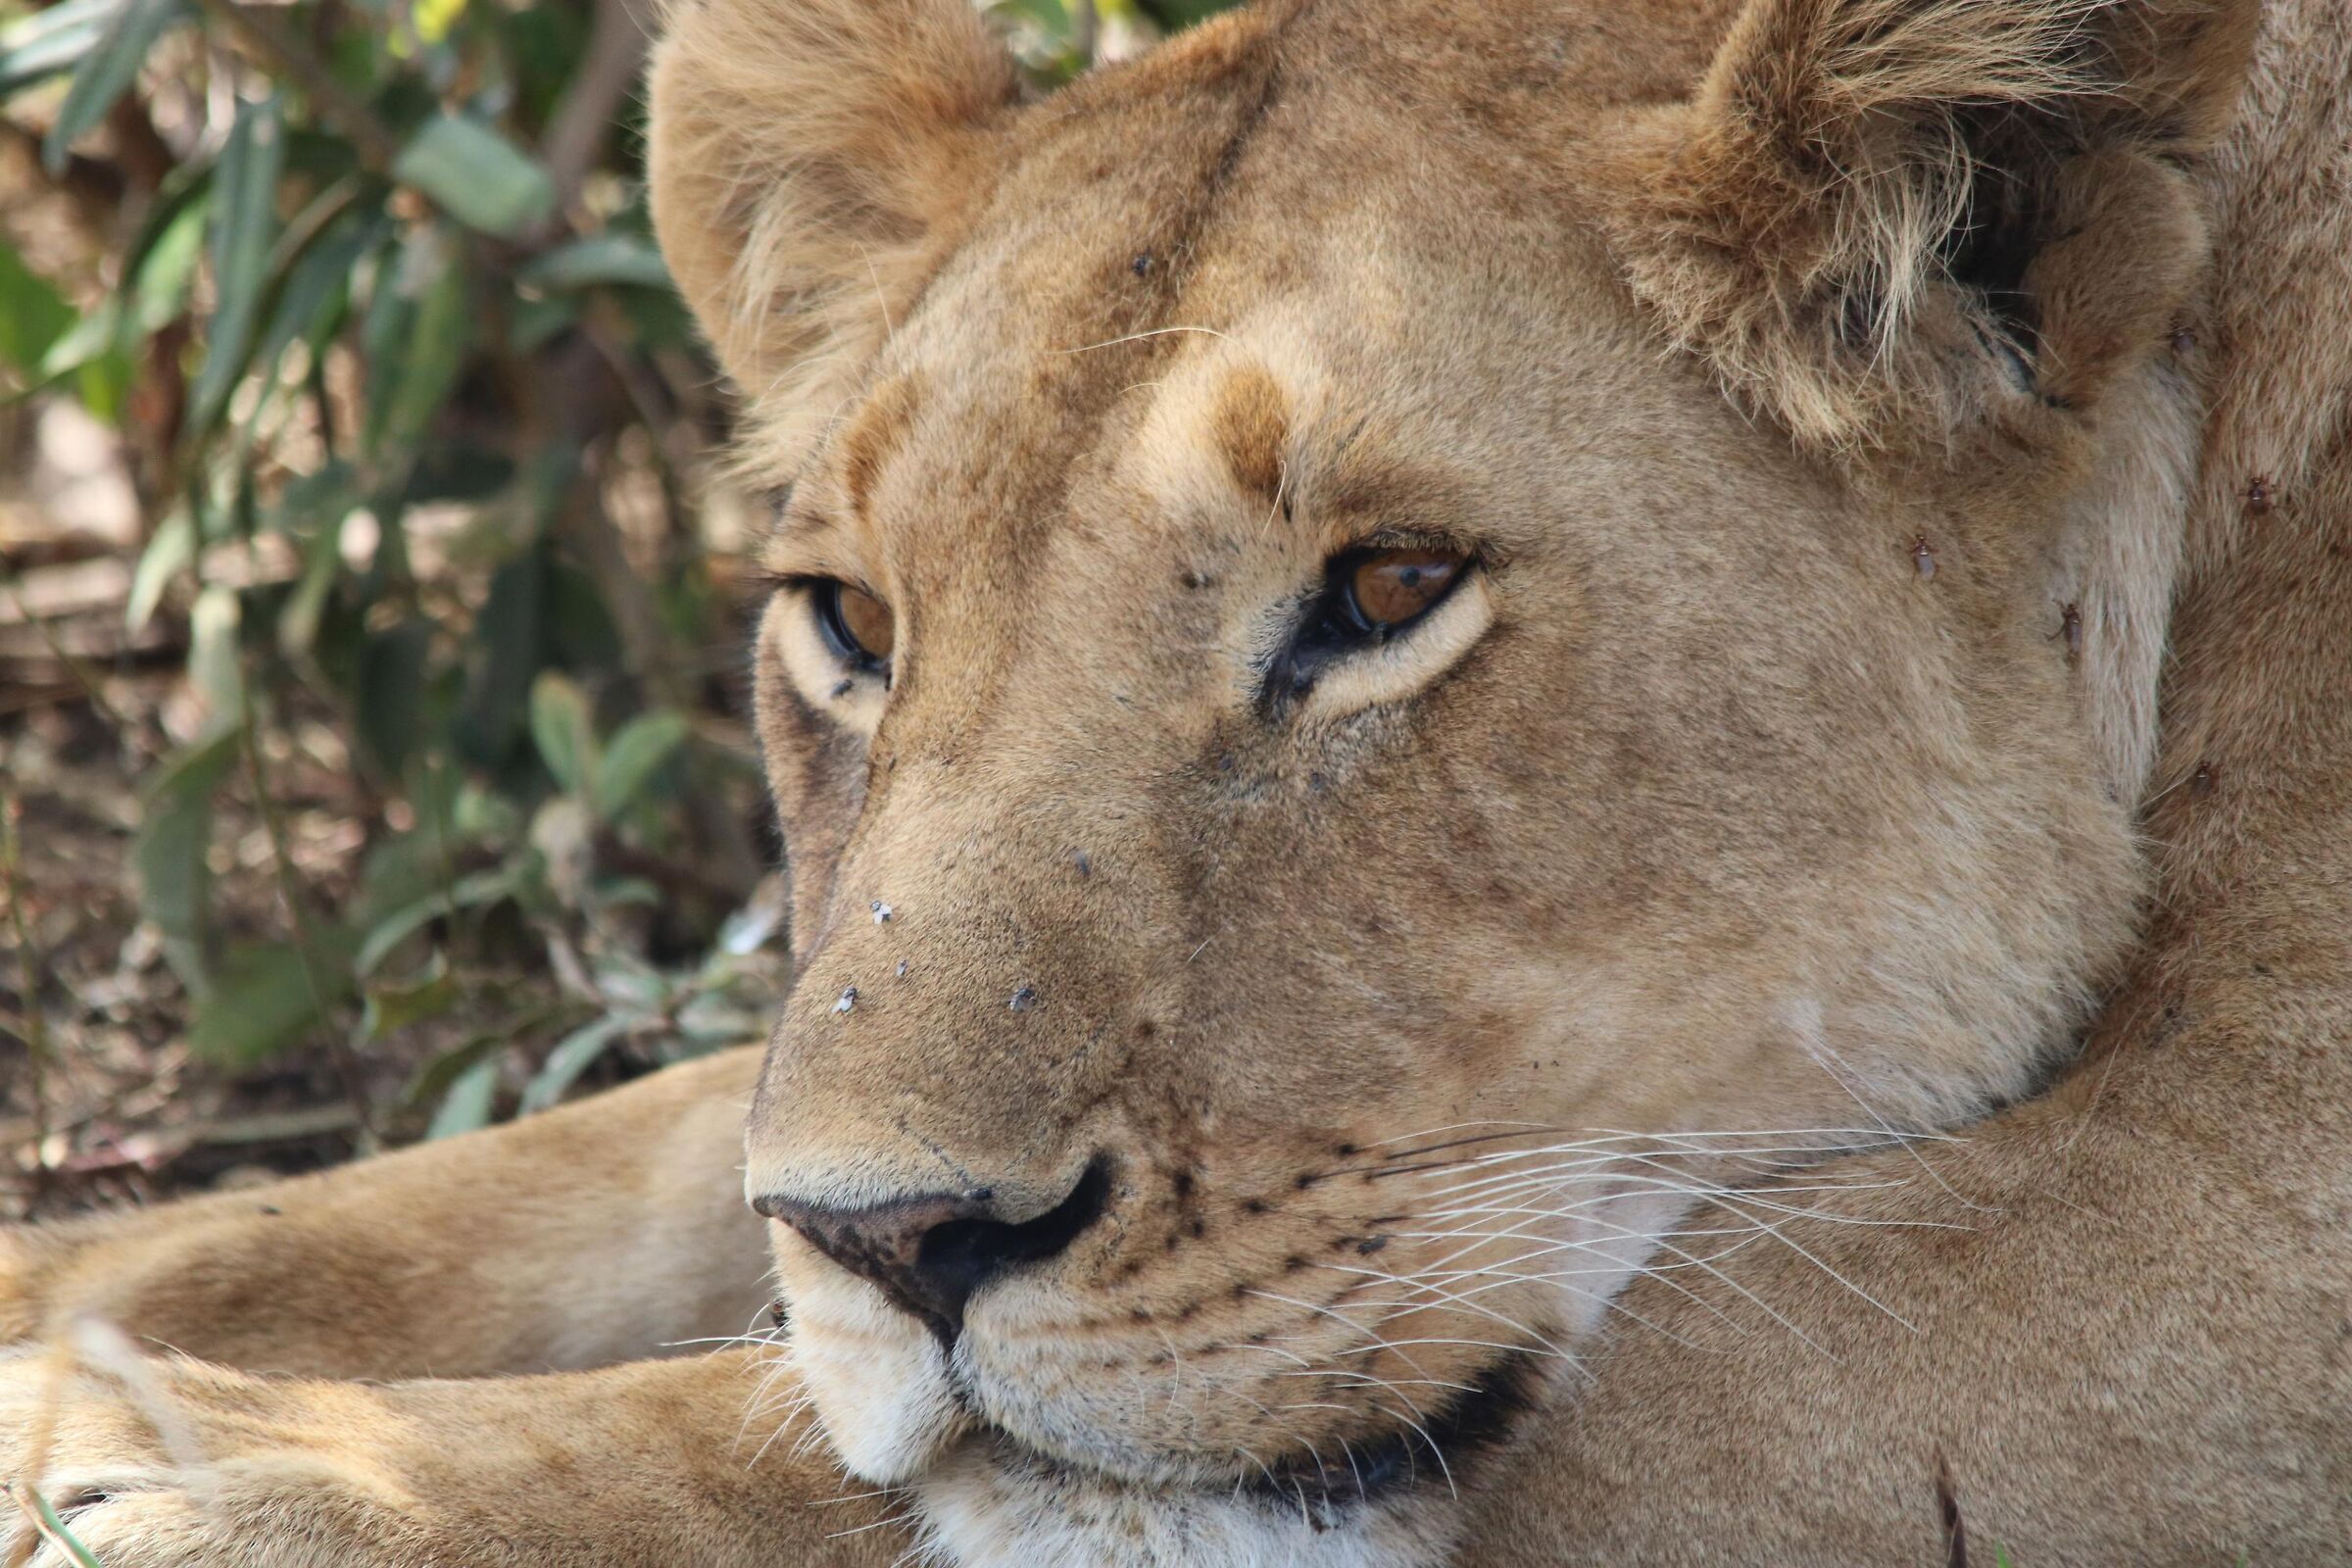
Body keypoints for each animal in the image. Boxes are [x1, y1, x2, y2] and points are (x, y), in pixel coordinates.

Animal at [6, 0, 2350, 1563]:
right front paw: (61, 1332)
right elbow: (603, 1164)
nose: (898, 1242)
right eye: (853, 623)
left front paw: (235, 1486)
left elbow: (804, 1453)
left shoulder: (2218, 1208)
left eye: (1389, 588)